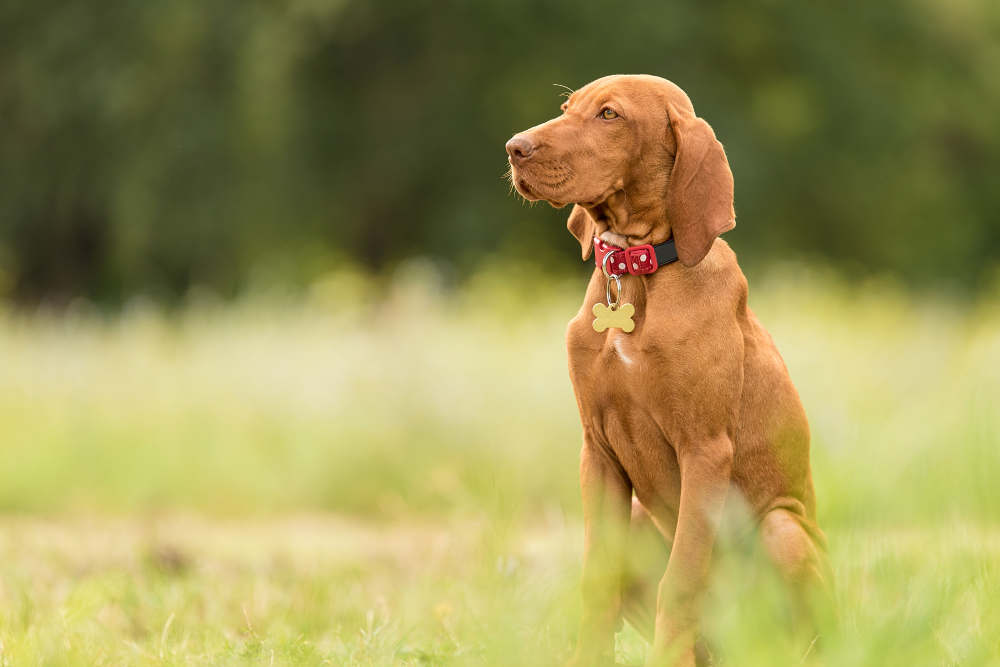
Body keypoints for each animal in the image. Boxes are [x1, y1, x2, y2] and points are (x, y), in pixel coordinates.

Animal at [508, 75, 828, 664]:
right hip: (639, 520)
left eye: (609, 115)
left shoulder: (704, 449)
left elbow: (679, 581)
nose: (514, 148)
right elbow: (597, 582)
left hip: (782, 530)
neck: (636, 271)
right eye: (567, 107)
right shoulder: (597, 450)